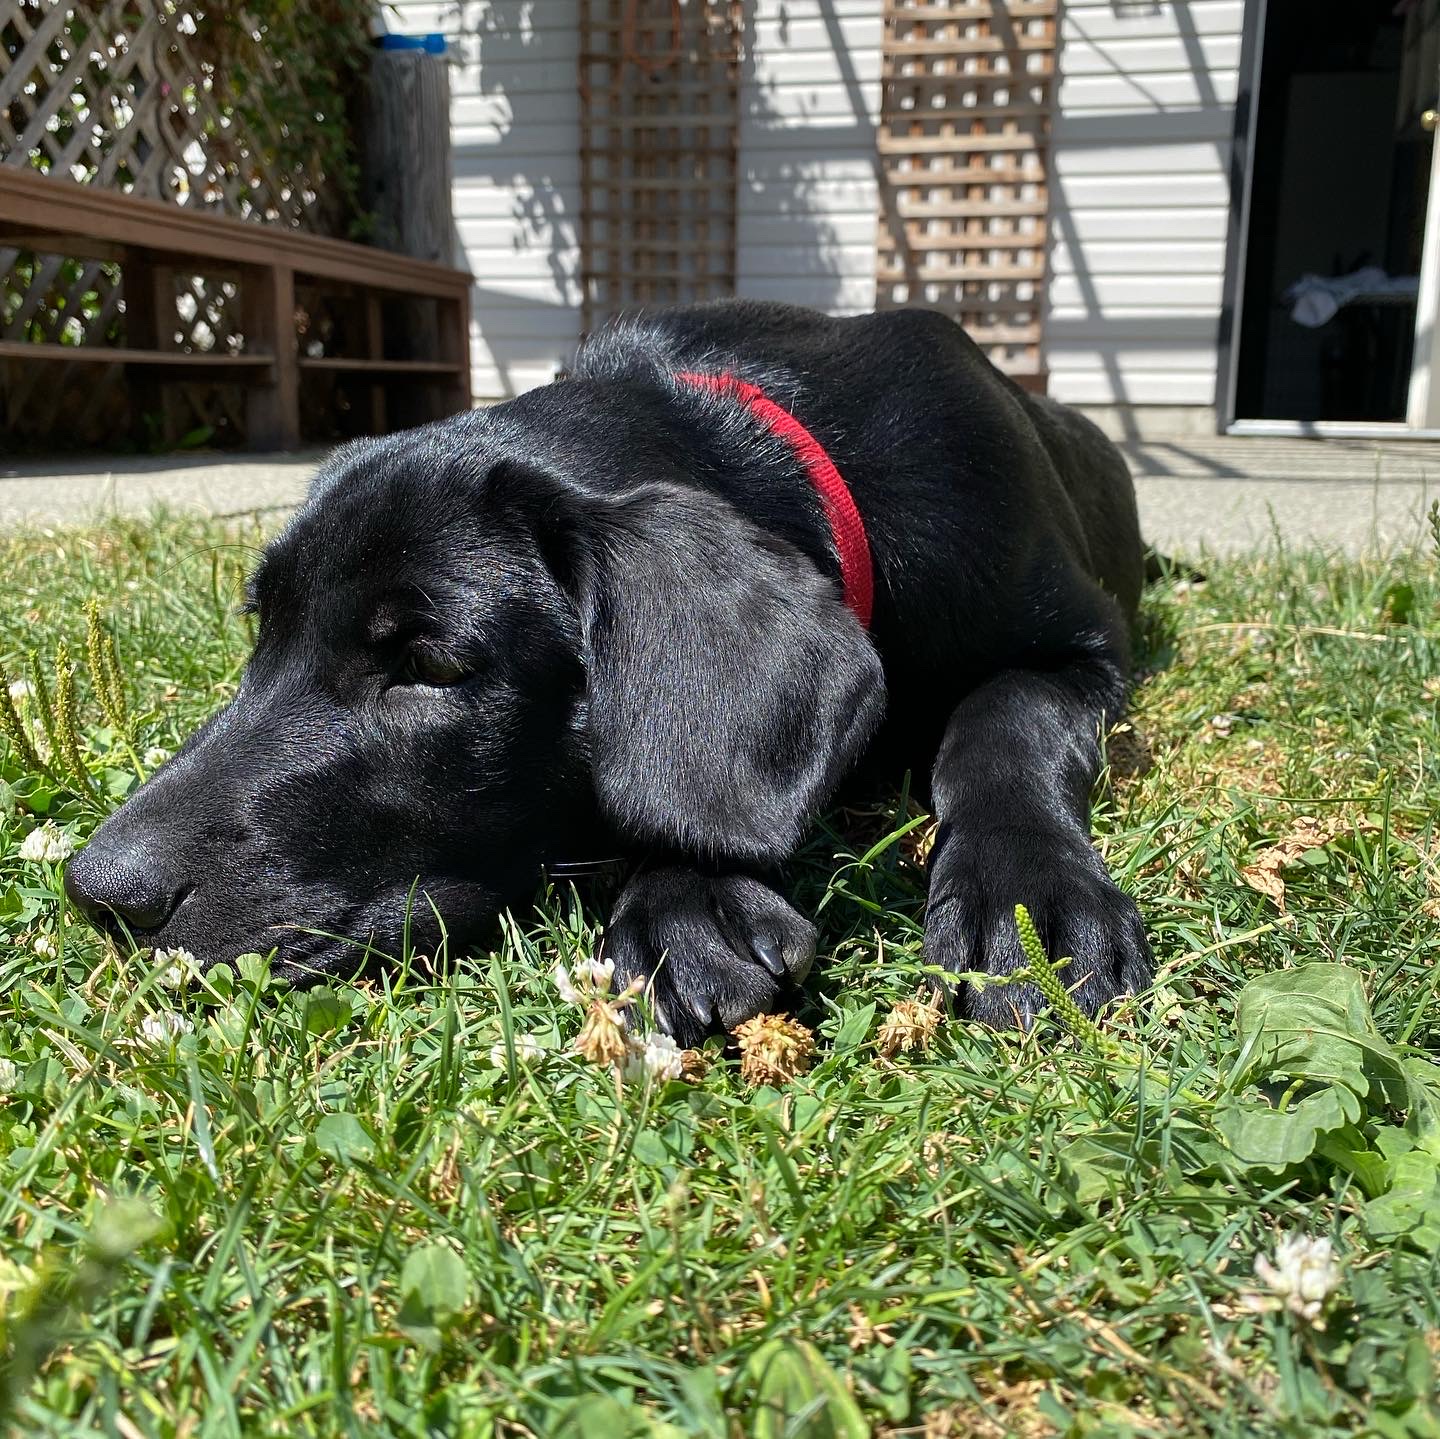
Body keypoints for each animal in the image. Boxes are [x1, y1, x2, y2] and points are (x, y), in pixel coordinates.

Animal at [66, 300, 1153, 1042]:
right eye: (261, 632)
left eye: (427, 664)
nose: (98, 892)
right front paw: (690, 899)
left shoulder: (1084, 648)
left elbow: (1000, 722)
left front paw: (1025, 898)